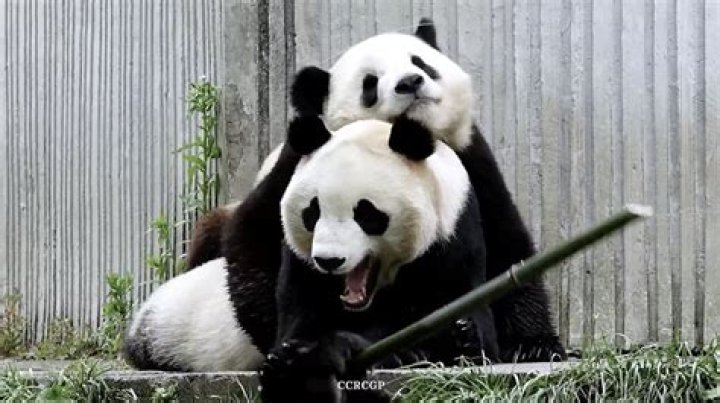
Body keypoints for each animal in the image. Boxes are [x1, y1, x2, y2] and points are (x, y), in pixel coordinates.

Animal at [187, 18, 564, 362]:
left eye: (421, 62)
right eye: (370, 83)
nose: (410, 82)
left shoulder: (471, 160)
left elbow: (506, 244)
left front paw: (533, 345)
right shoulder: (294, 169)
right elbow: (256, 236)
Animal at [261, 115, 498, 402]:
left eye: (366, 214)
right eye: (313, 211)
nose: (329, 261)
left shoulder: (452, 237)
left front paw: (336, 348)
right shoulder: (301, 263)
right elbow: (298, 312)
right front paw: (289, 360)